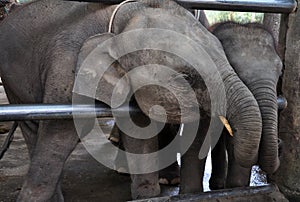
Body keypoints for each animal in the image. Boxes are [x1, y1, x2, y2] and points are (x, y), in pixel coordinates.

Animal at [0, 0, 264, 200]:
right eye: (187, 76)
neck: (120, 22)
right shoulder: (66, 67)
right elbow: (58, 136)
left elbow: (140, 131)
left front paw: (147, 194)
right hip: (13, 83)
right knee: (33, 127)